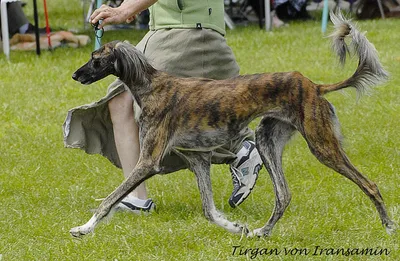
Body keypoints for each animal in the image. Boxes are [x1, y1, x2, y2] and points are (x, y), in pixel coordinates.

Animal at [70, 11, 396, 236]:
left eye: (95, 58)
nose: (75, 75)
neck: (152, 86)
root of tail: (313, 85)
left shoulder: (149, 161)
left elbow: (110, 199)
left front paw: (83, 229)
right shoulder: (198, 160)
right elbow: (209, 210)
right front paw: (236, 227)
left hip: (322, 144)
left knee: (369, 183)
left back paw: (389, 226)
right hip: (267, 140)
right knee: (283, 195)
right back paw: (262, 232)